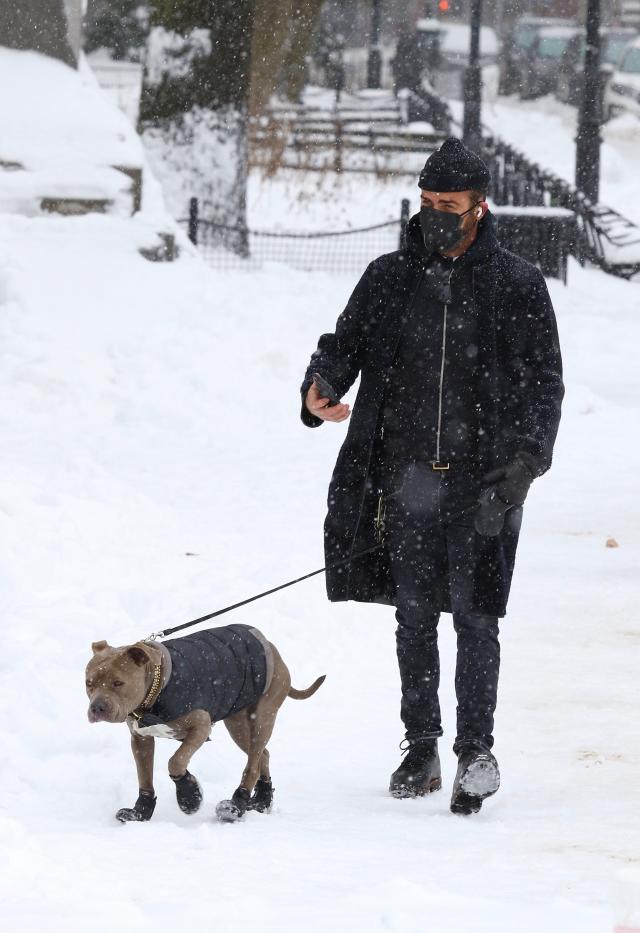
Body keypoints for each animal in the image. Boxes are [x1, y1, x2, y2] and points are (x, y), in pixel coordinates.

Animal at [85, 624, 324, 820]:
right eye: (89, 683)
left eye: (118, 683)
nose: (97, 708)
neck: (156, 689)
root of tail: (273, 648)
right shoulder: (140, 739)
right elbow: (144, 776)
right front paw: (141, 811)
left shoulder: (200, 726)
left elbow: (176, 761)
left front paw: (189, 795)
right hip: (238, 723)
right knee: (262, 755)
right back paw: (261, 802)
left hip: (264, 715)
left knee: (253, 763)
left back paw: (236, 805)